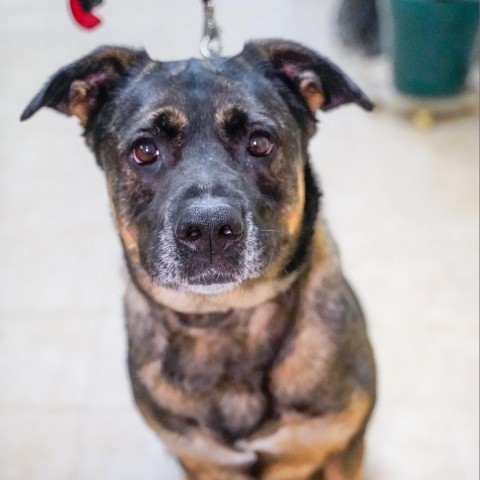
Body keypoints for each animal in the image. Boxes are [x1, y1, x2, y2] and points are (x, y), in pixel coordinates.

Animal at [21, 40, 376, 480]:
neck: (224, 320)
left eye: (260, 143)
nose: (208, 229)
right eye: (144, 150)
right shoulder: (202, 462)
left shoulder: (340, 447)